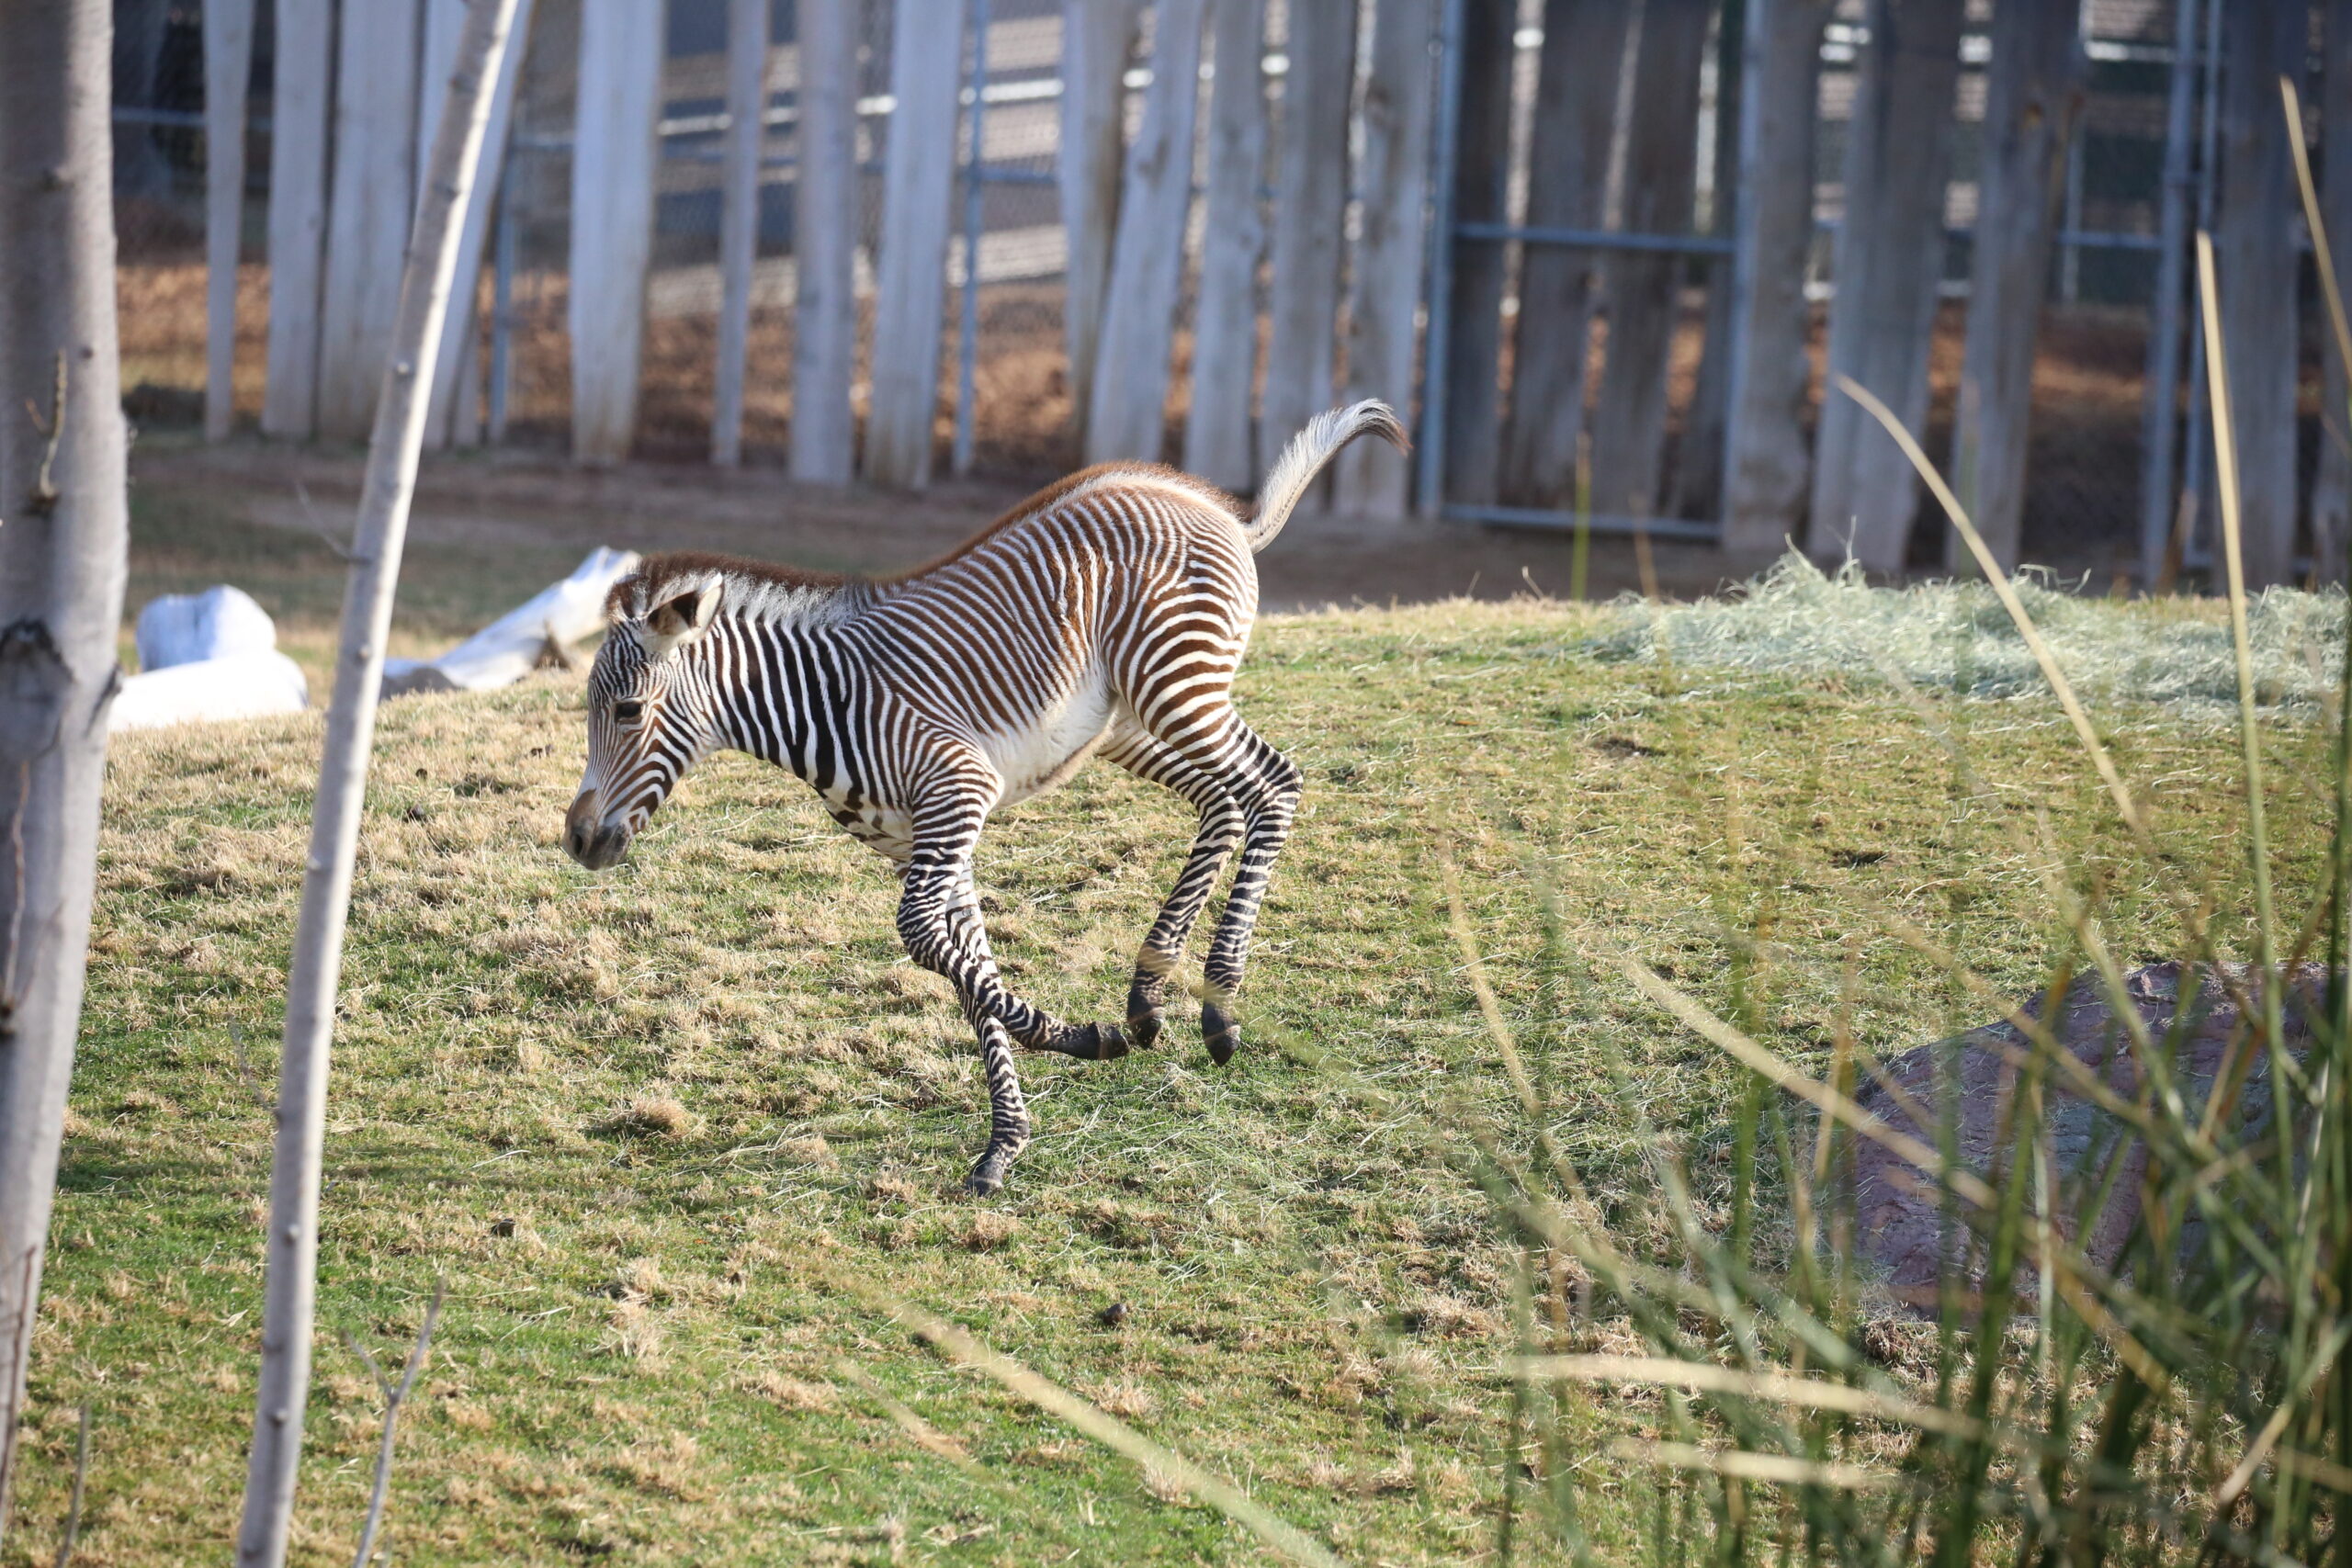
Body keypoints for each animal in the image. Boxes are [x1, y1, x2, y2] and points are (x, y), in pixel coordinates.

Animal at [560, 400, 1401, 1194]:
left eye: (627, 711)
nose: (576, 838)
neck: (825, 702)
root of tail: (1222, 512)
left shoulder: (959, 791)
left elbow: (924, 941)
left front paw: (1080, 1041)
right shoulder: (927, 839)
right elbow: (967, 965)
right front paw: (1008, 1141)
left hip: (1177, 688)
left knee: (1274, 784)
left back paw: (1218, 1008)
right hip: (1132, 721)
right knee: (1224, 801)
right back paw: (1147, 995)